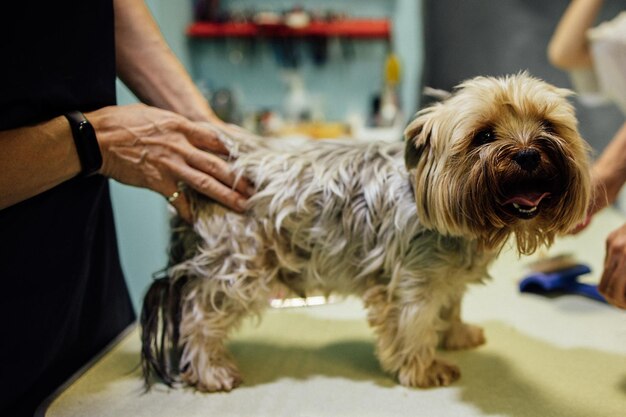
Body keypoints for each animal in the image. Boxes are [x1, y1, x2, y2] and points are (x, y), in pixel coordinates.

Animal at [140, 74, 588, 390]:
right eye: (485, 135)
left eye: (549, 126)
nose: (529, 154)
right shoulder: (411, 281)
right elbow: (414, 324)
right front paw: (424, 368)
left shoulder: (445, 277)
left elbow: (450, 305)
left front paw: (456, 333)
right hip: (240, 264)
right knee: (199, 315)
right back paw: (210, 371)